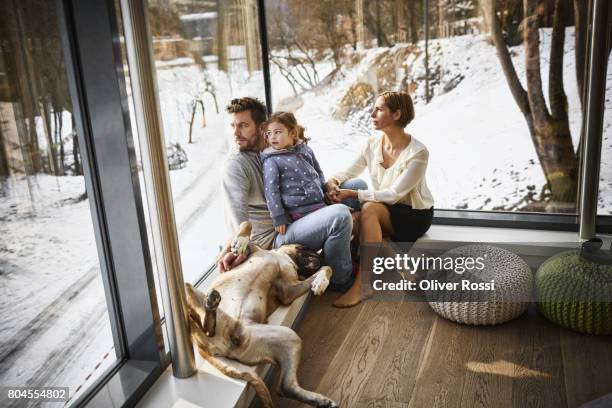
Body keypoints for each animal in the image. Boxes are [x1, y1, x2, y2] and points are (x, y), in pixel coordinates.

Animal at [185, 223, 340, 408]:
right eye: (304, 246)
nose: (320, 256)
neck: (280, 256)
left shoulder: (288, 290)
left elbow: (327, 269)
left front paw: (321, 281)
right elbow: (246, 224)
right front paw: (241, 240)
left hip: (288, 336)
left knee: (285, 387)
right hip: (188, 291)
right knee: (198, 319)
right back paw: (209, 307)